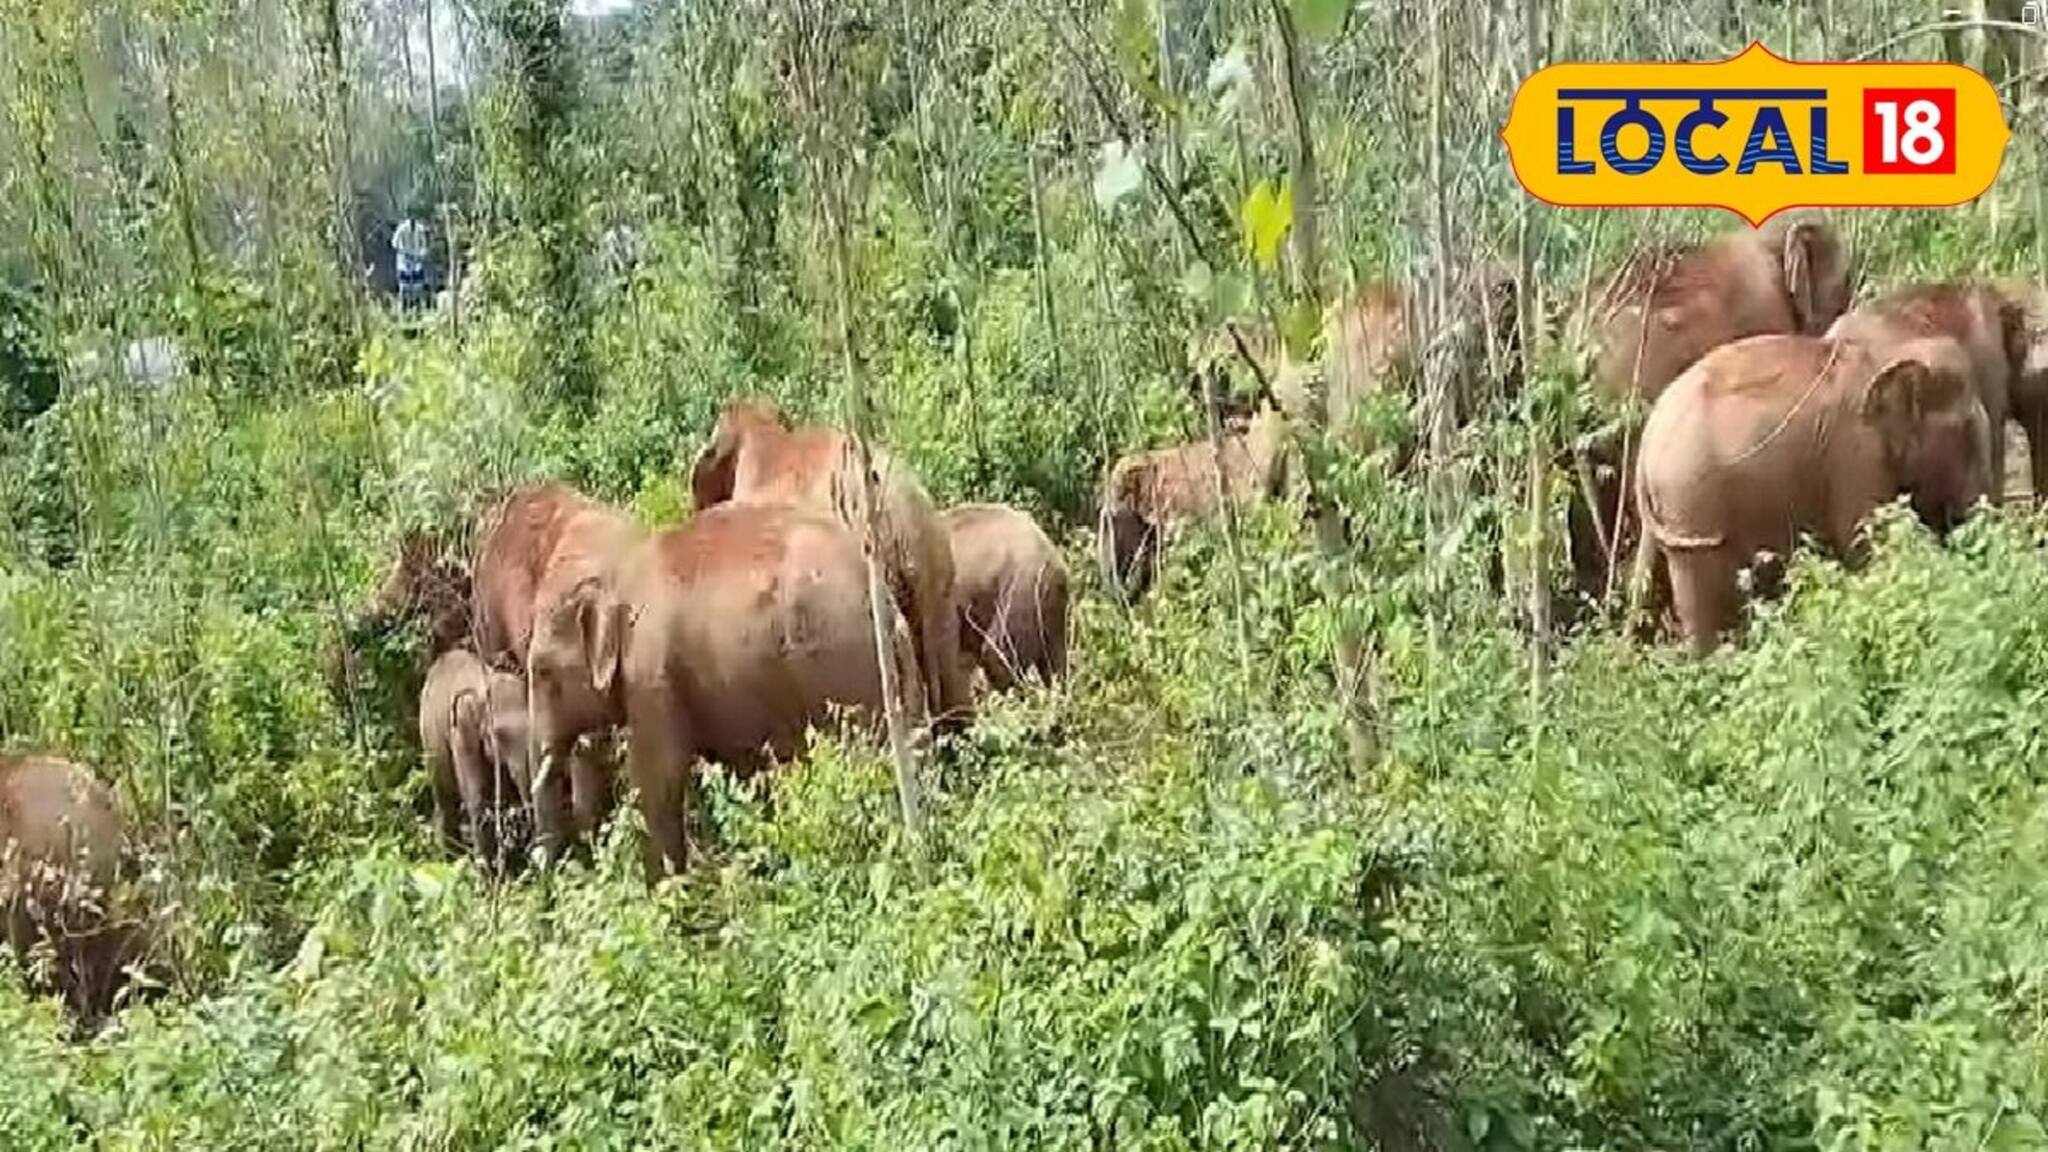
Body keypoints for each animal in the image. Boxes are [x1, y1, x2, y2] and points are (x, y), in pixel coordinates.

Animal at [524, 502, 927, 876]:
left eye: (541, 671)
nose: (542, 865)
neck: (618, 570)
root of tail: (881, 599)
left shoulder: (652, 671)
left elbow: (658, 775)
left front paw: (666, 887)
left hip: (840, 667)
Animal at [1632, 333, 1992, 654]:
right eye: (1966, 432)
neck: (1887, 350)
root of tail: (1645, 444)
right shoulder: (1856, 456)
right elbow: (1868, 543)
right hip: (1692, 500)